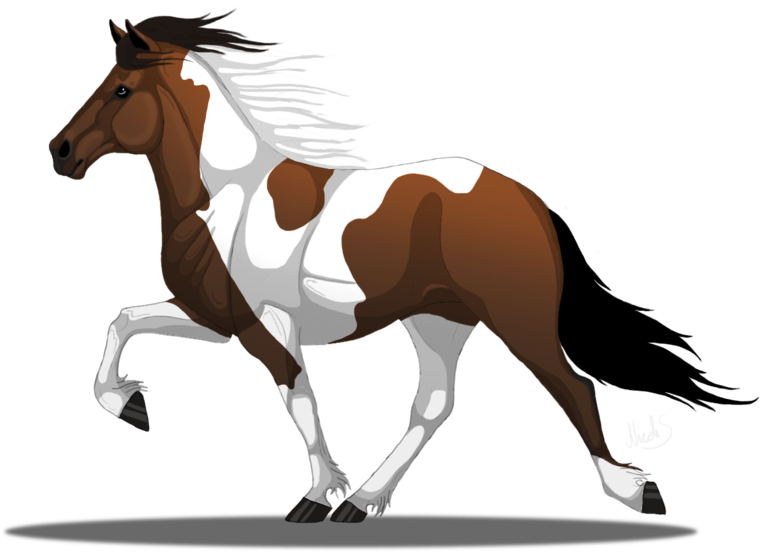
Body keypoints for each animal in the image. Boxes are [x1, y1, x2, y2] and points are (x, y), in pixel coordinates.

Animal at [48, 8, 666, 523]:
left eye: (121, 89)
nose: (59, 151)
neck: (227, 196)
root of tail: (523, 197)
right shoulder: (217, 320)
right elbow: (125, 319)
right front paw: (132, 406)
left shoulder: (268, 327)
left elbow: (300, 400)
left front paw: (316, 498)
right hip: (438, 321)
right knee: (434, 405)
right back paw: (365, 502)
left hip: (516, 318)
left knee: (572, 385)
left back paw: (634, 492)